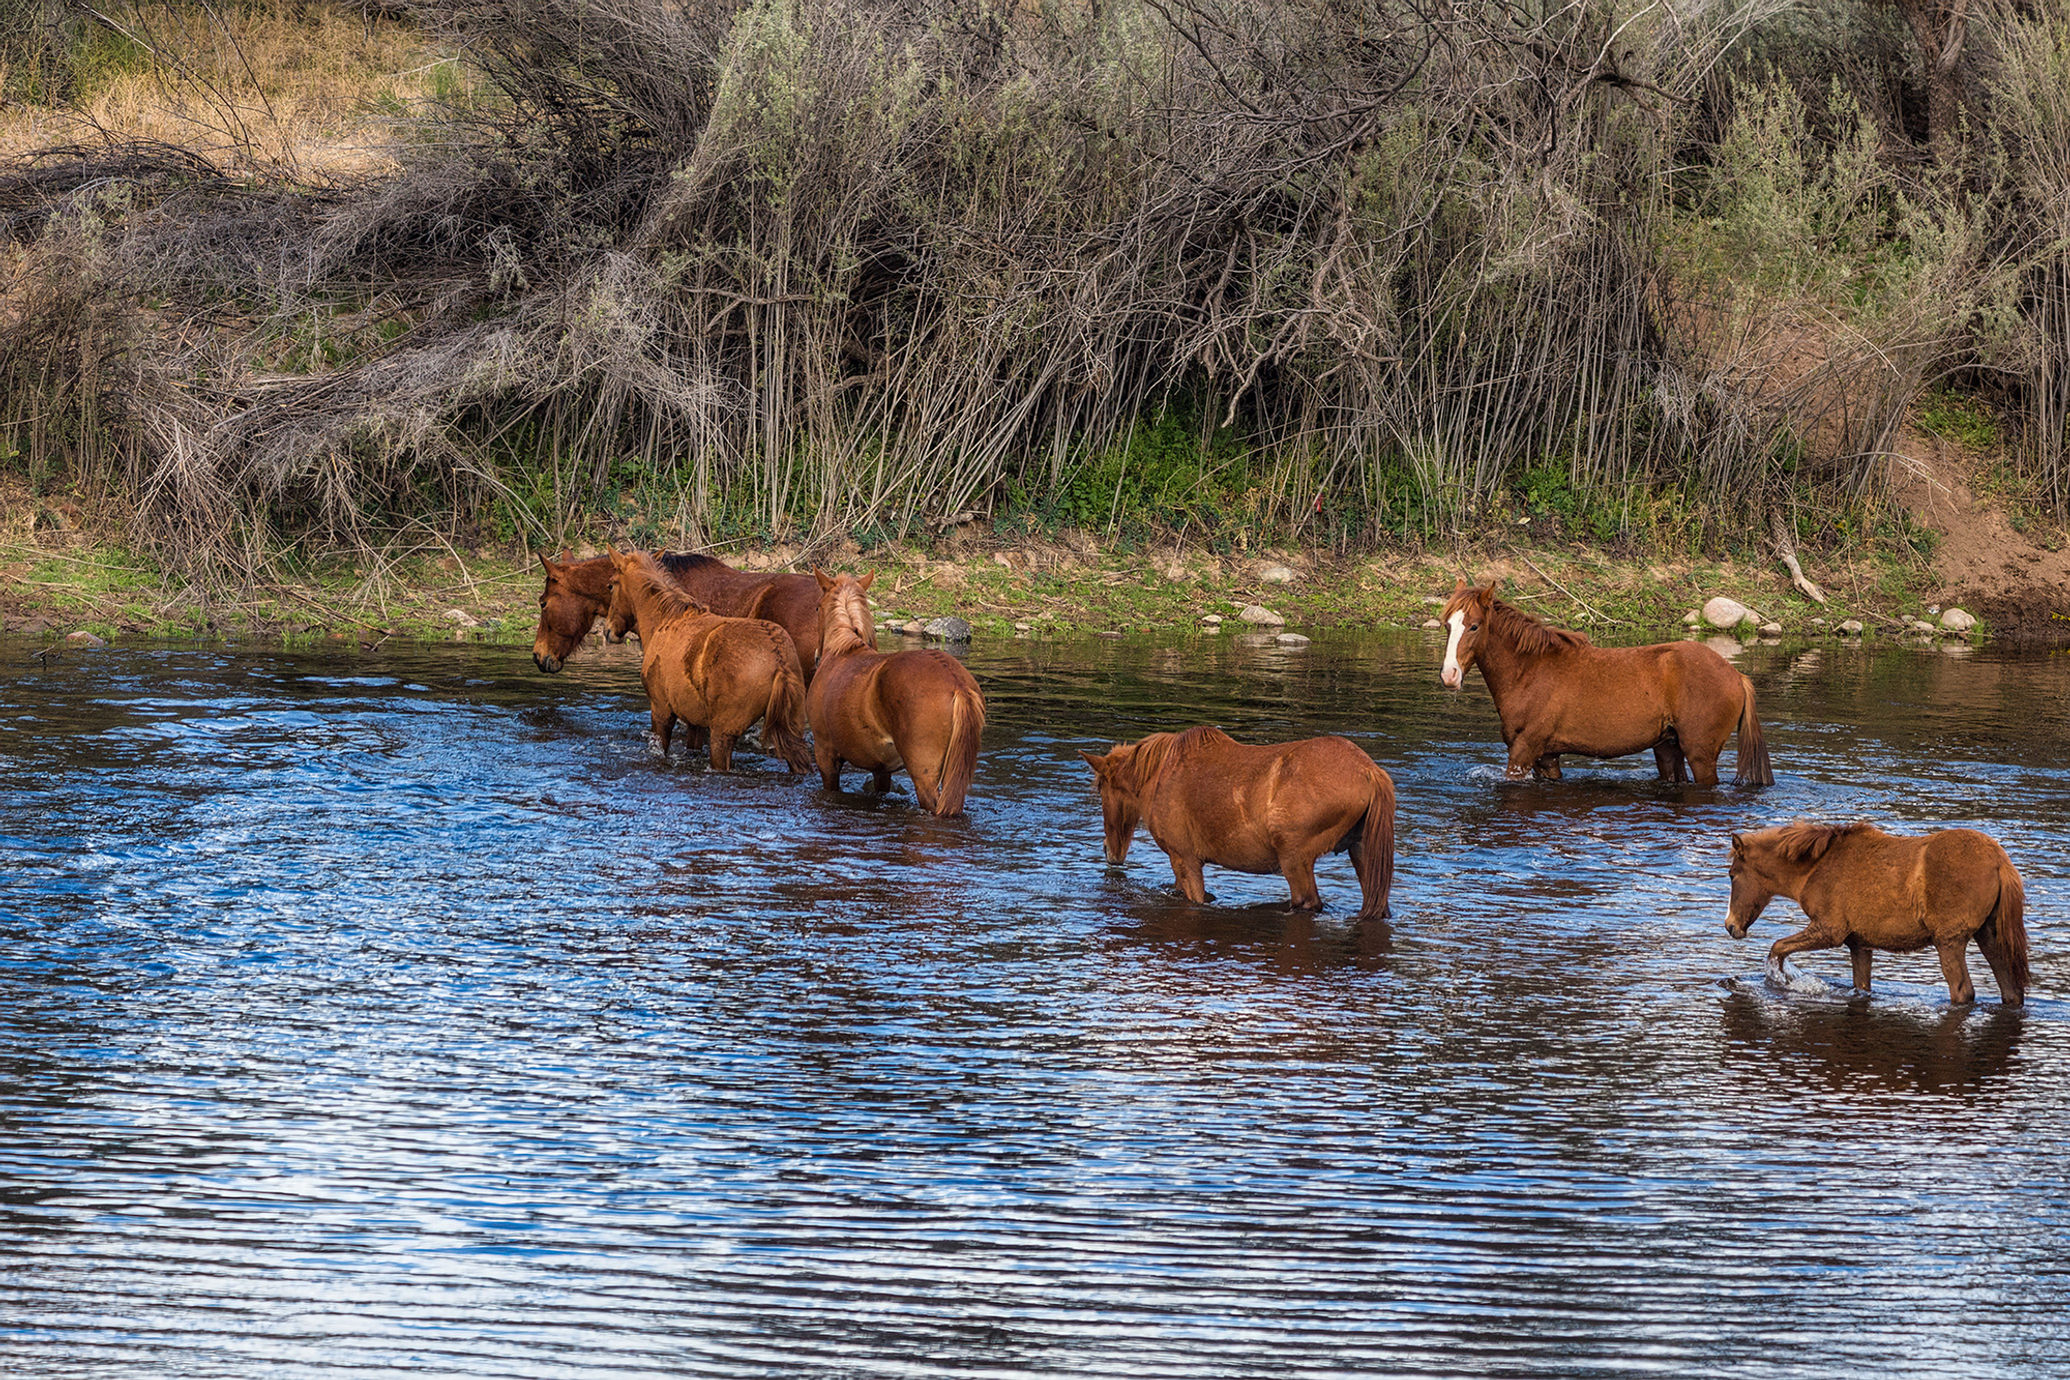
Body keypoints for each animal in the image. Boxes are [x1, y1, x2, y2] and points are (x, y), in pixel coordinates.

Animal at [605, 548, 813, 773]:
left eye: (611, 584)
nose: (608, 630)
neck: (664, 620)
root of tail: (779, 661)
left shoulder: (661, 710)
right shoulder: (695, 722)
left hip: (723, 734)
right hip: (790, 730)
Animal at [805, 570, 985, 816]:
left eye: (817, 607)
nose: (815, 656)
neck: (843, 651)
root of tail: (956, 682)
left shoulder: (825, 755)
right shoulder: (881, 769)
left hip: (925, 777)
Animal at [1080, 727, 1396, 921]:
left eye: (1100, 788)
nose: (1109, 850)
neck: (1156, 777)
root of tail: (1370, 771)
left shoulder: (1184, 857)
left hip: (1295, 859)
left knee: (1307, 902)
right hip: (1362, 852)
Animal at [1439, 578, 1772, 786]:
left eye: (1474, 626)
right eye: (1447, 625)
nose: (1449, 675)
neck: (1529, 671)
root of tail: (1736, 676)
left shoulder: (1525, 750)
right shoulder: (1547, 758)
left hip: (1701, 754)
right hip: (1668, 747)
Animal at [1725, 822, 2028, 1006]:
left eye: (1732, 874)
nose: (1730, 925)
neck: (1814, 869)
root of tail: (2000, 862)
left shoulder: (1829, 930)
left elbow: (1777, 947)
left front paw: (1778, 978)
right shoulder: (1859, 943)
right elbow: (1861, 985)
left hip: (1949, 941)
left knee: (1962, 990)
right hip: (1988, 935)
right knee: (2011, 989)